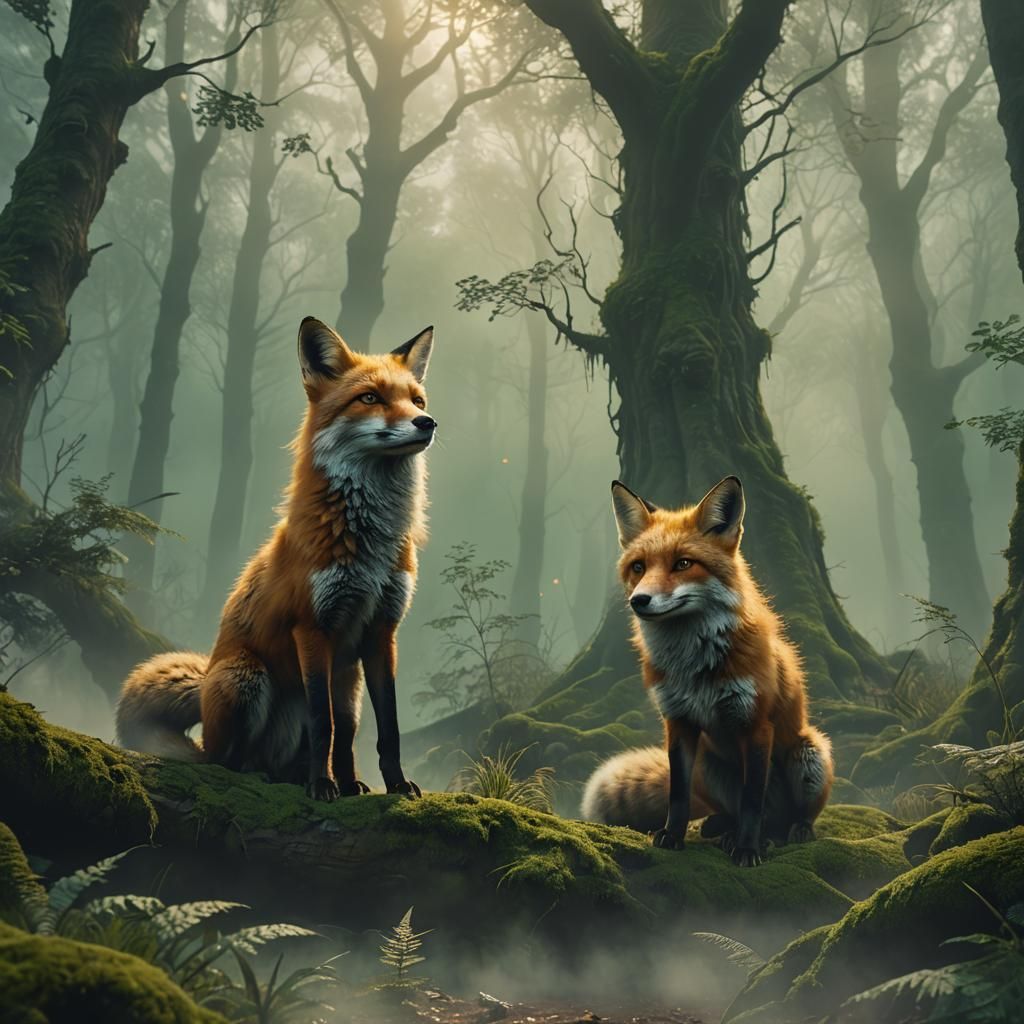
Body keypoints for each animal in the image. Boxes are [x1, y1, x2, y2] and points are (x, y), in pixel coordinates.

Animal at [116, 316, 436, 801]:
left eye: (416, 400)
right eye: (370, 398)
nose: (427, 422)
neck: (369, 547)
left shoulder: (382, 631)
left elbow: (385, 729)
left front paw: (395, 784)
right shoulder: (311, 627)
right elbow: (323, 724)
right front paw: (322, 787)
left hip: (349, 686)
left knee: (341, 735)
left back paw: (344, 782)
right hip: (248, 676)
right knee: (227, 761)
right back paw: (266, 776)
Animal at [581, 476, 833, 866]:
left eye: (683, 563)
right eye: (638, 567)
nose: (639, 601)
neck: (694, 666)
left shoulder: (757, 725)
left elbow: (752, 800)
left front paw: (748, 849)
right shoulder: (678, 722)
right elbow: (678, 795)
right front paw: (672, 836)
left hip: (809, 752)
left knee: (786, 816)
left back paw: (785, 833)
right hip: (707, 763)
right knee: (731, 810)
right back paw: (722, 828)